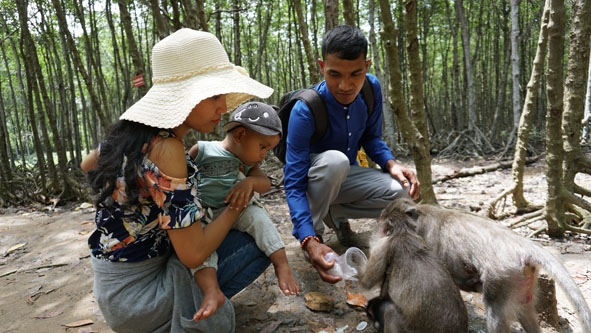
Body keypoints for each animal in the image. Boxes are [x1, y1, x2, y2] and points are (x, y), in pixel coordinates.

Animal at [386, 198, 591, 330]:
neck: (420, 215)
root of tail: (523, 245)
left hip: (503, 275)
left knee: (495, 309)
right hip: (523, 278)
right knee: (524, 309)